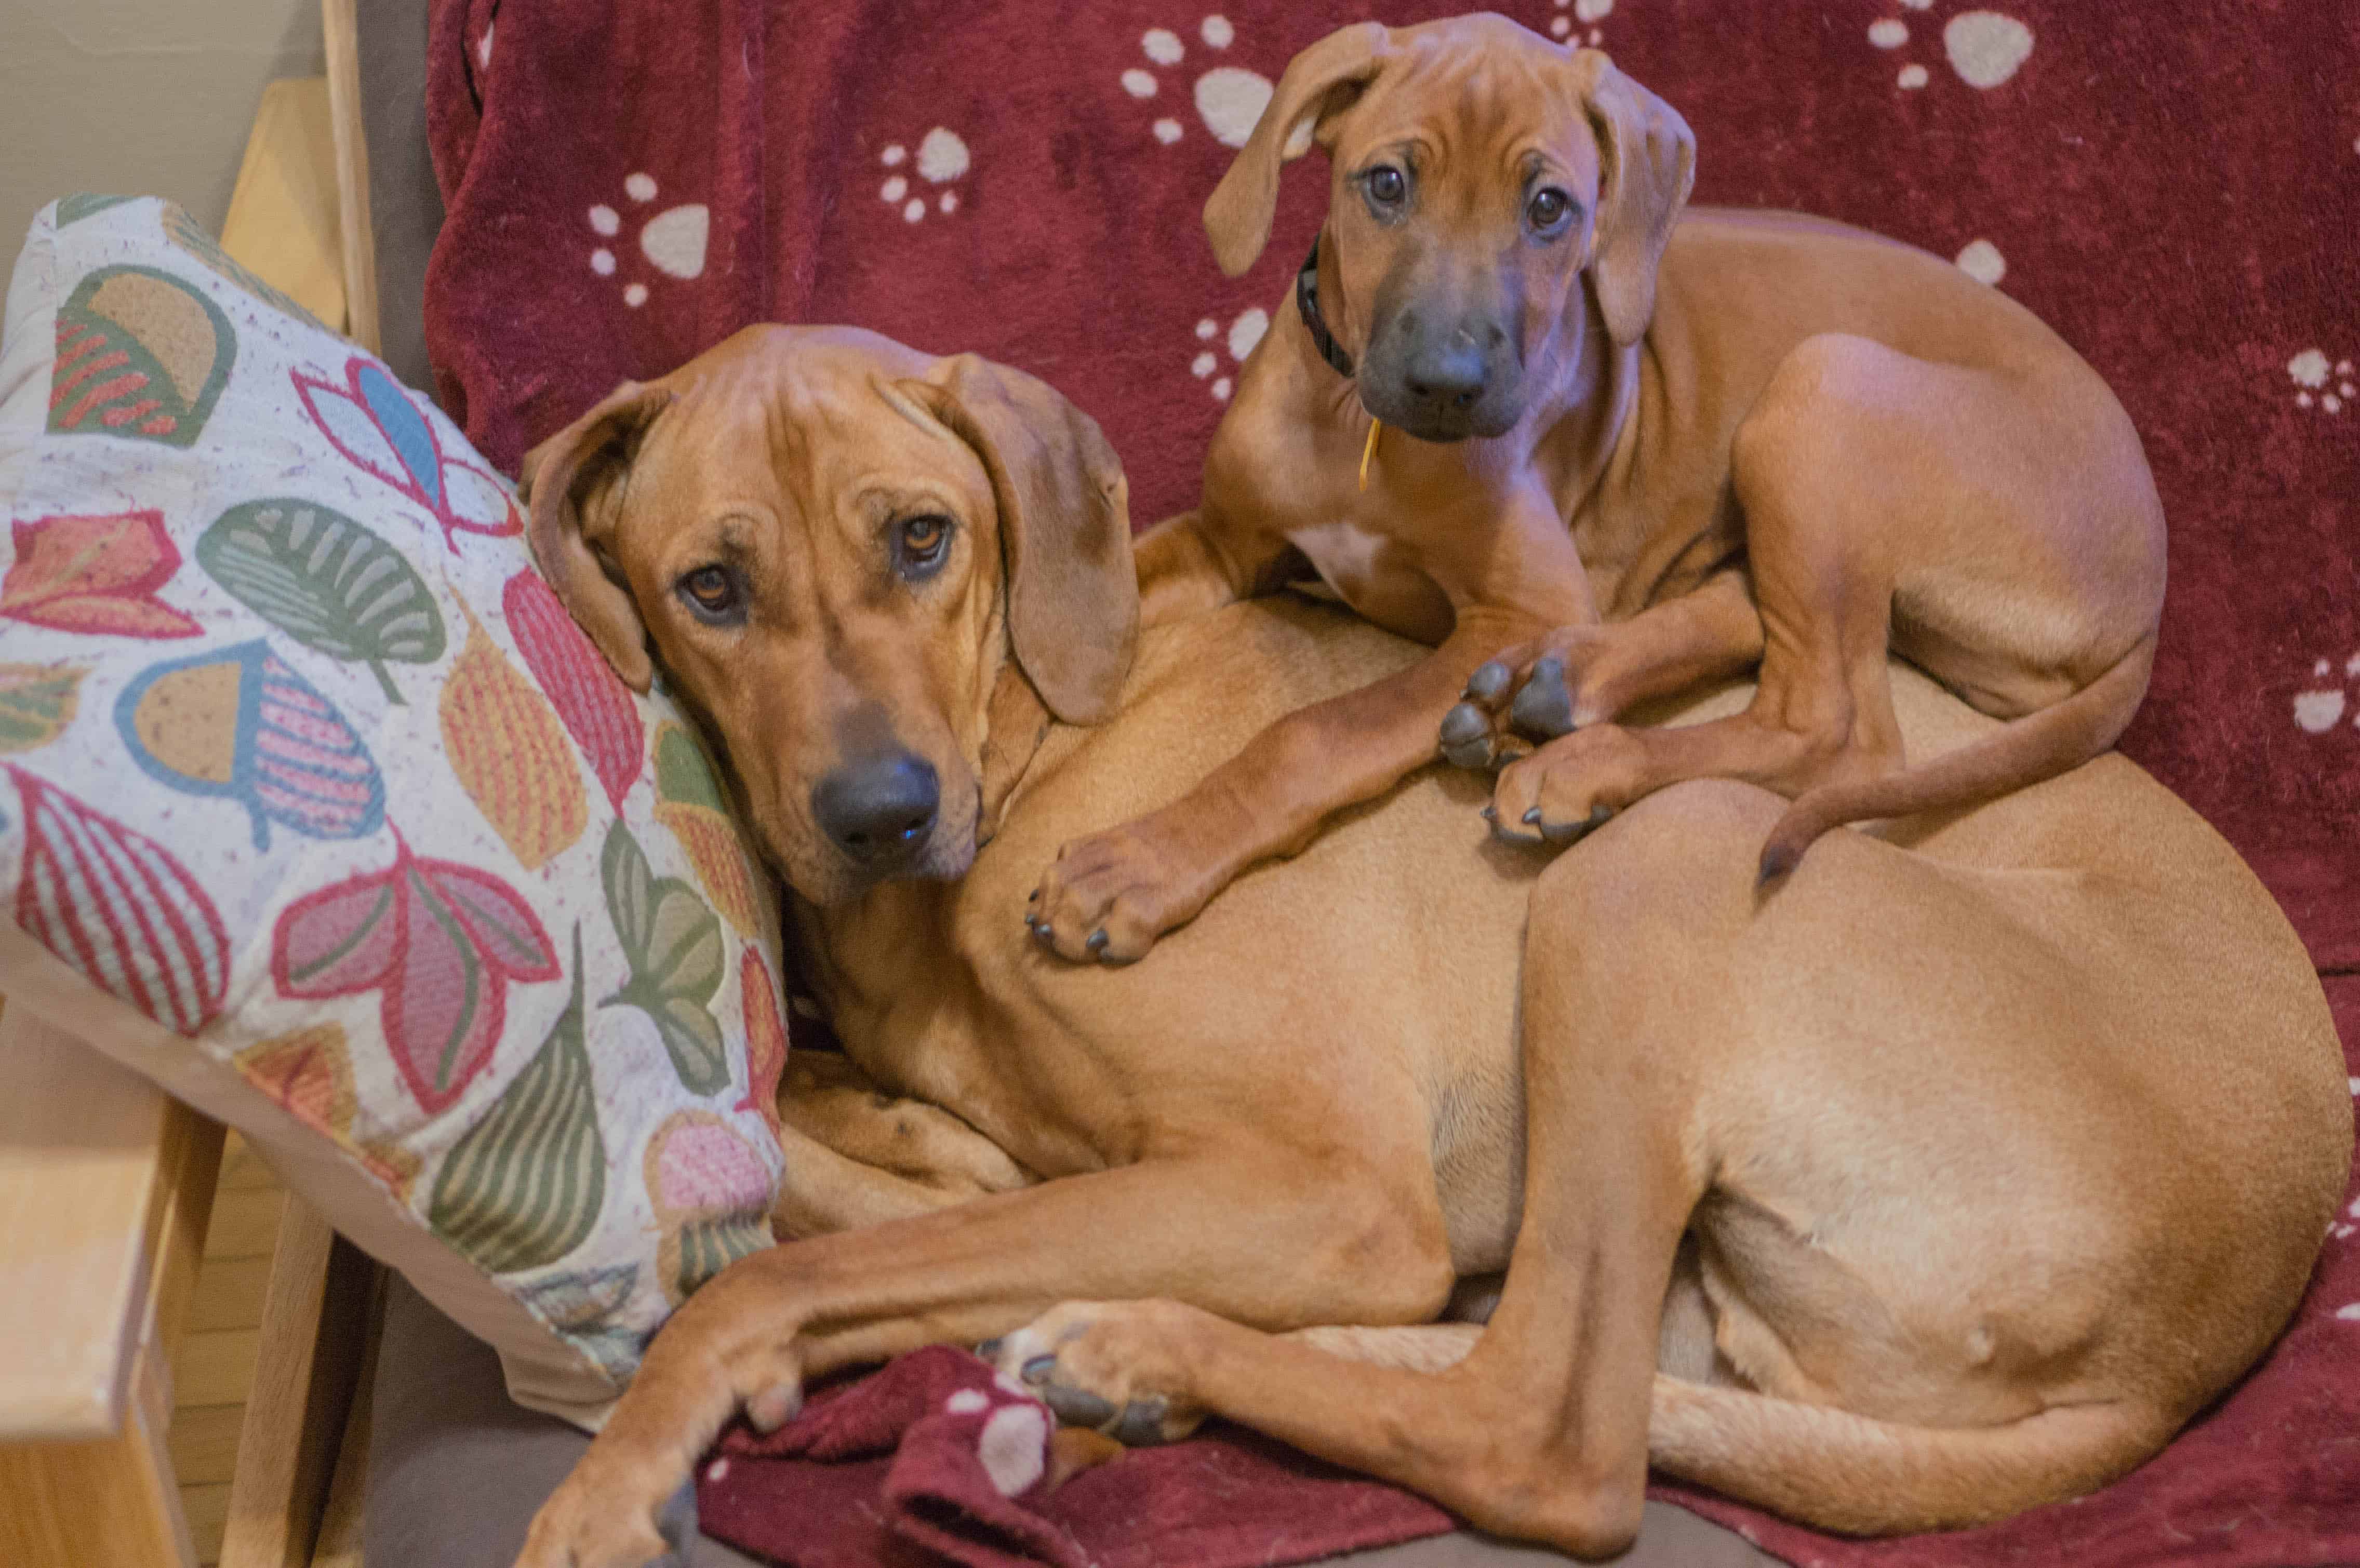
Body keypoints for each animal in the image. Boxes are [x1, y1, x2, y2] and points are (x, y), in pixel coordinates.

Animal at [502, 323, 2341, 1556]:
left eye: (920, 537)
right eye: (709, 588)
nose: (879, 812)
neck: (1026, 747)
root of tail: (2203, 1340)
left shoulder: (1325, 1184)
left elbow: (785, 1267)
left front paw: (616, 1471)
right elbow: (848, 1172)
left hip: (1653, 864)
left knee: (1551, 1437)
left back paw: (1145, 1346)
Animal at [1024, 15, 2162, 967]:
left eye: (1548, 207)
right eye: (1384, 185)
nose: (1447, 384)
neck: (1361, 433)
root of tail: (2148, 601)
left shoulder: (1518, 605)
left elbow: (1314, 733)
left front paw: (1138, 863)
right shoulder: (1227, 541)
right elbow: (1104, 586)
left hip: (1823, 386)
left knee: (1837, 727)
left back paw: (1570, 759)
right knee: (1751, 623)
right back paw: (1546, 697)